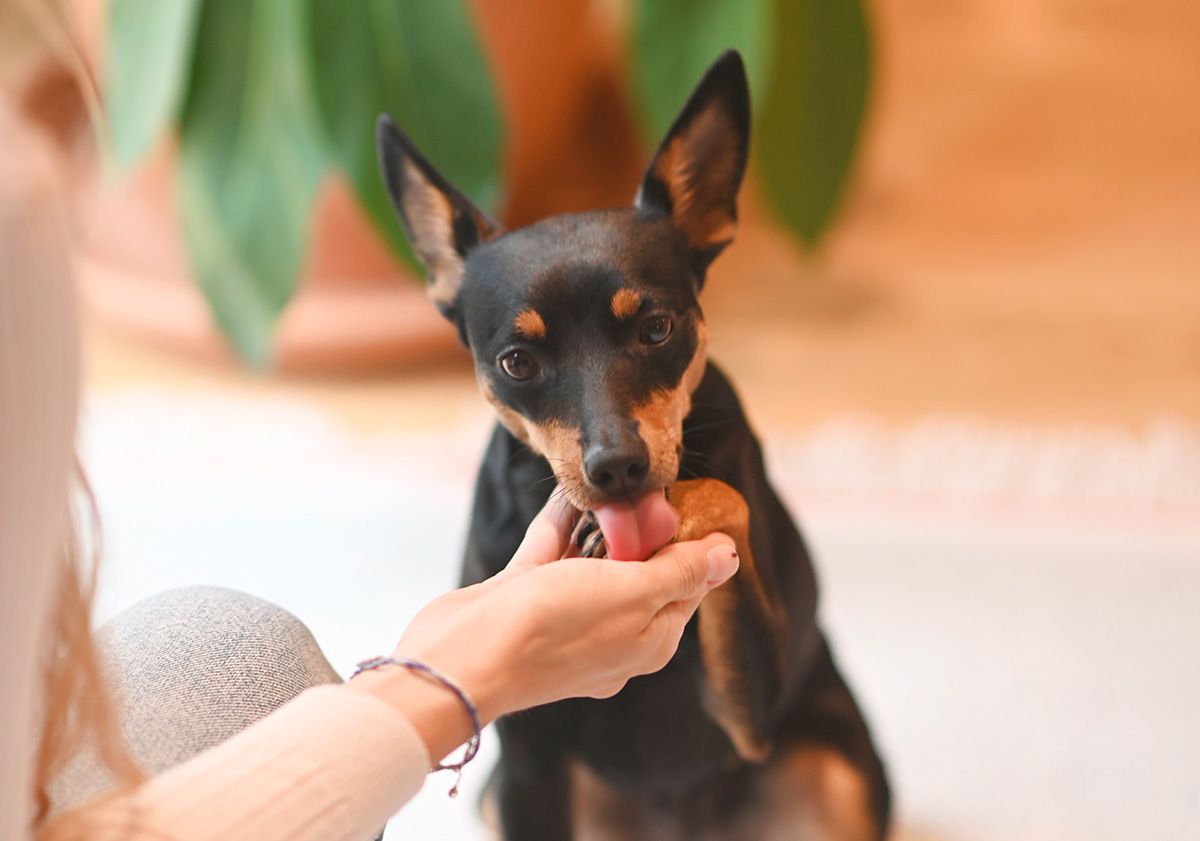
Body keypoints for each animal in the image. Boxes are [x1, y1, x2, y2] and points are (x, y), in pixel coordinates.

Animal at [376, 50, 892, 839]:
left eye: (656, 329)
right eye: (517, 362)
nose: (617, 468)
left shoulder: (750, 716)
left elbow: (726, 495)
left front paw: (666, 516)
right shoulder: (528, 766)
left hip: (833, 775)